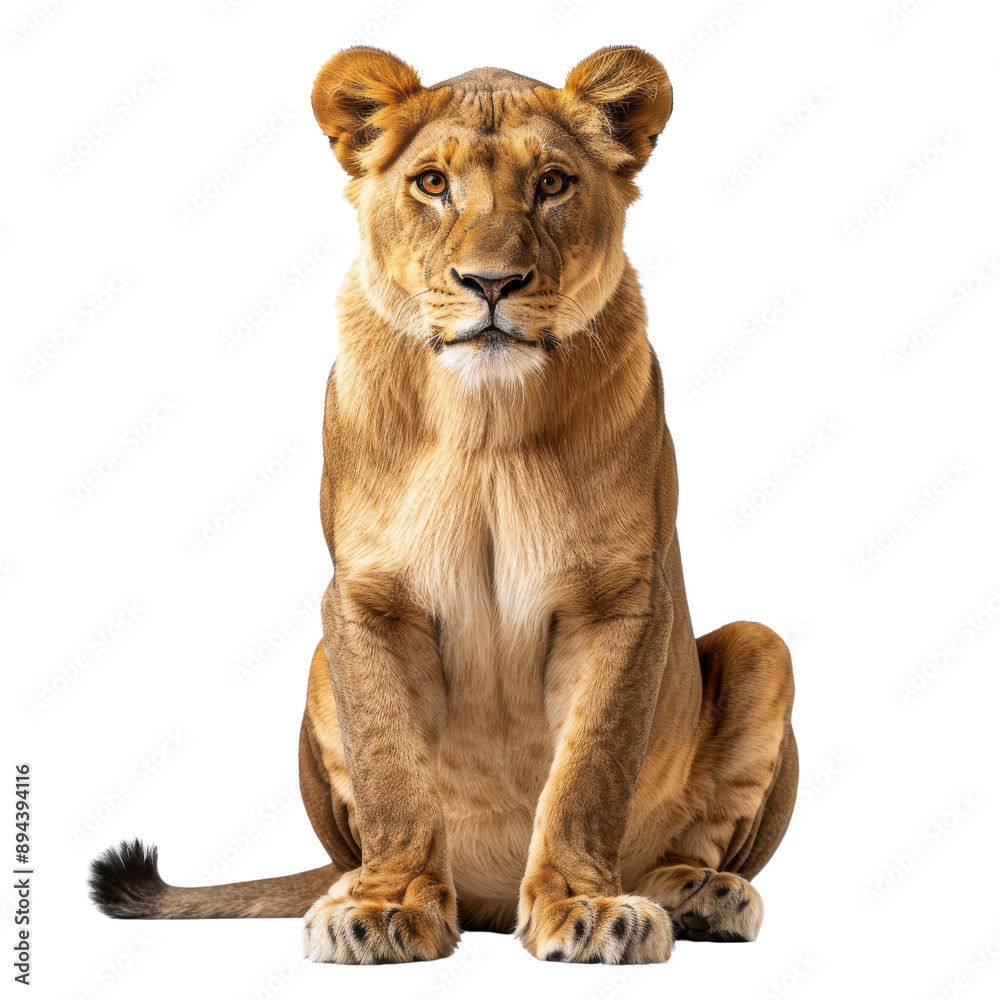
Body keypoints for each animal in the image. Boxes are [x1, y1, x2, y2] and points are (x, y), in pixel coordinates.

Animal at [90, 44, 797, 966]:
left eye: (553, 183)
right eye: (432, 183)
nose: (491, 282)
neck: (484, 422)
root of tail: (491, 897)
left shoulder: (621, 599)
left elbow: (589, 771)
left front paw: (587, 906)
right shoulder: (365, 600)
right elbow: (392, 767)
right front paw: (386, 906)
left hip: (762, 645)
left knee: (698, 835)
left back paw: (700, 894)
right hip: (317, 667)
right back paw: (354, 888)